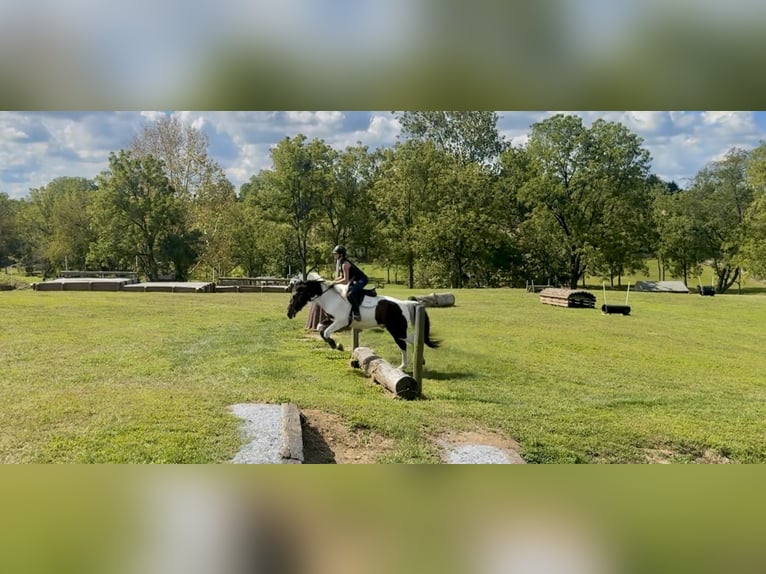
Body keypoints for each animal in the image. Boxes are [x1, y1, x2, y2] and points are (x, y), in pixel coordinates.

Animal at [286, 278, 440, 370]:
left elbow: (325, 331)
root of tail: (405, 303)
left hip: (397, 330)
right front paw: (335, 344)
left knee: (408, 343)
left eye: (296, 295)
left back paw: (405, 366)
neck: (331, 298)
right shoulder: (333, 320)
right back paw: (416, 363)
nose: (289, 313)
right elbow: (320, 328)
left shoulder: (341, 322)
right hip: (397, 331)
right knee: (410, 341)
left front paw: (334, 345)